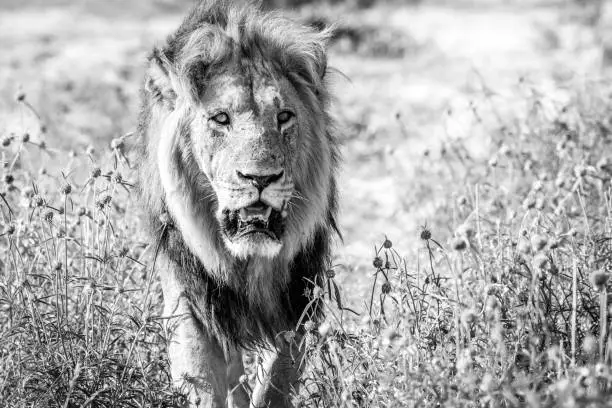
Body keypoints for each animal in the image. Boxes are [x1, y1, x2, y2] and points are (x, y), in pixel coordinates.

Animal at [134, 1, 342, 406]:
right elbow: (202, 376)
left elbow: (276, 381)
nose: (260, 178)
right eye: (221, 118)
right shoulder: (191, 297)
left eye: (284, 117)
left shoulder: (296, 301)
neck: (246, 262)